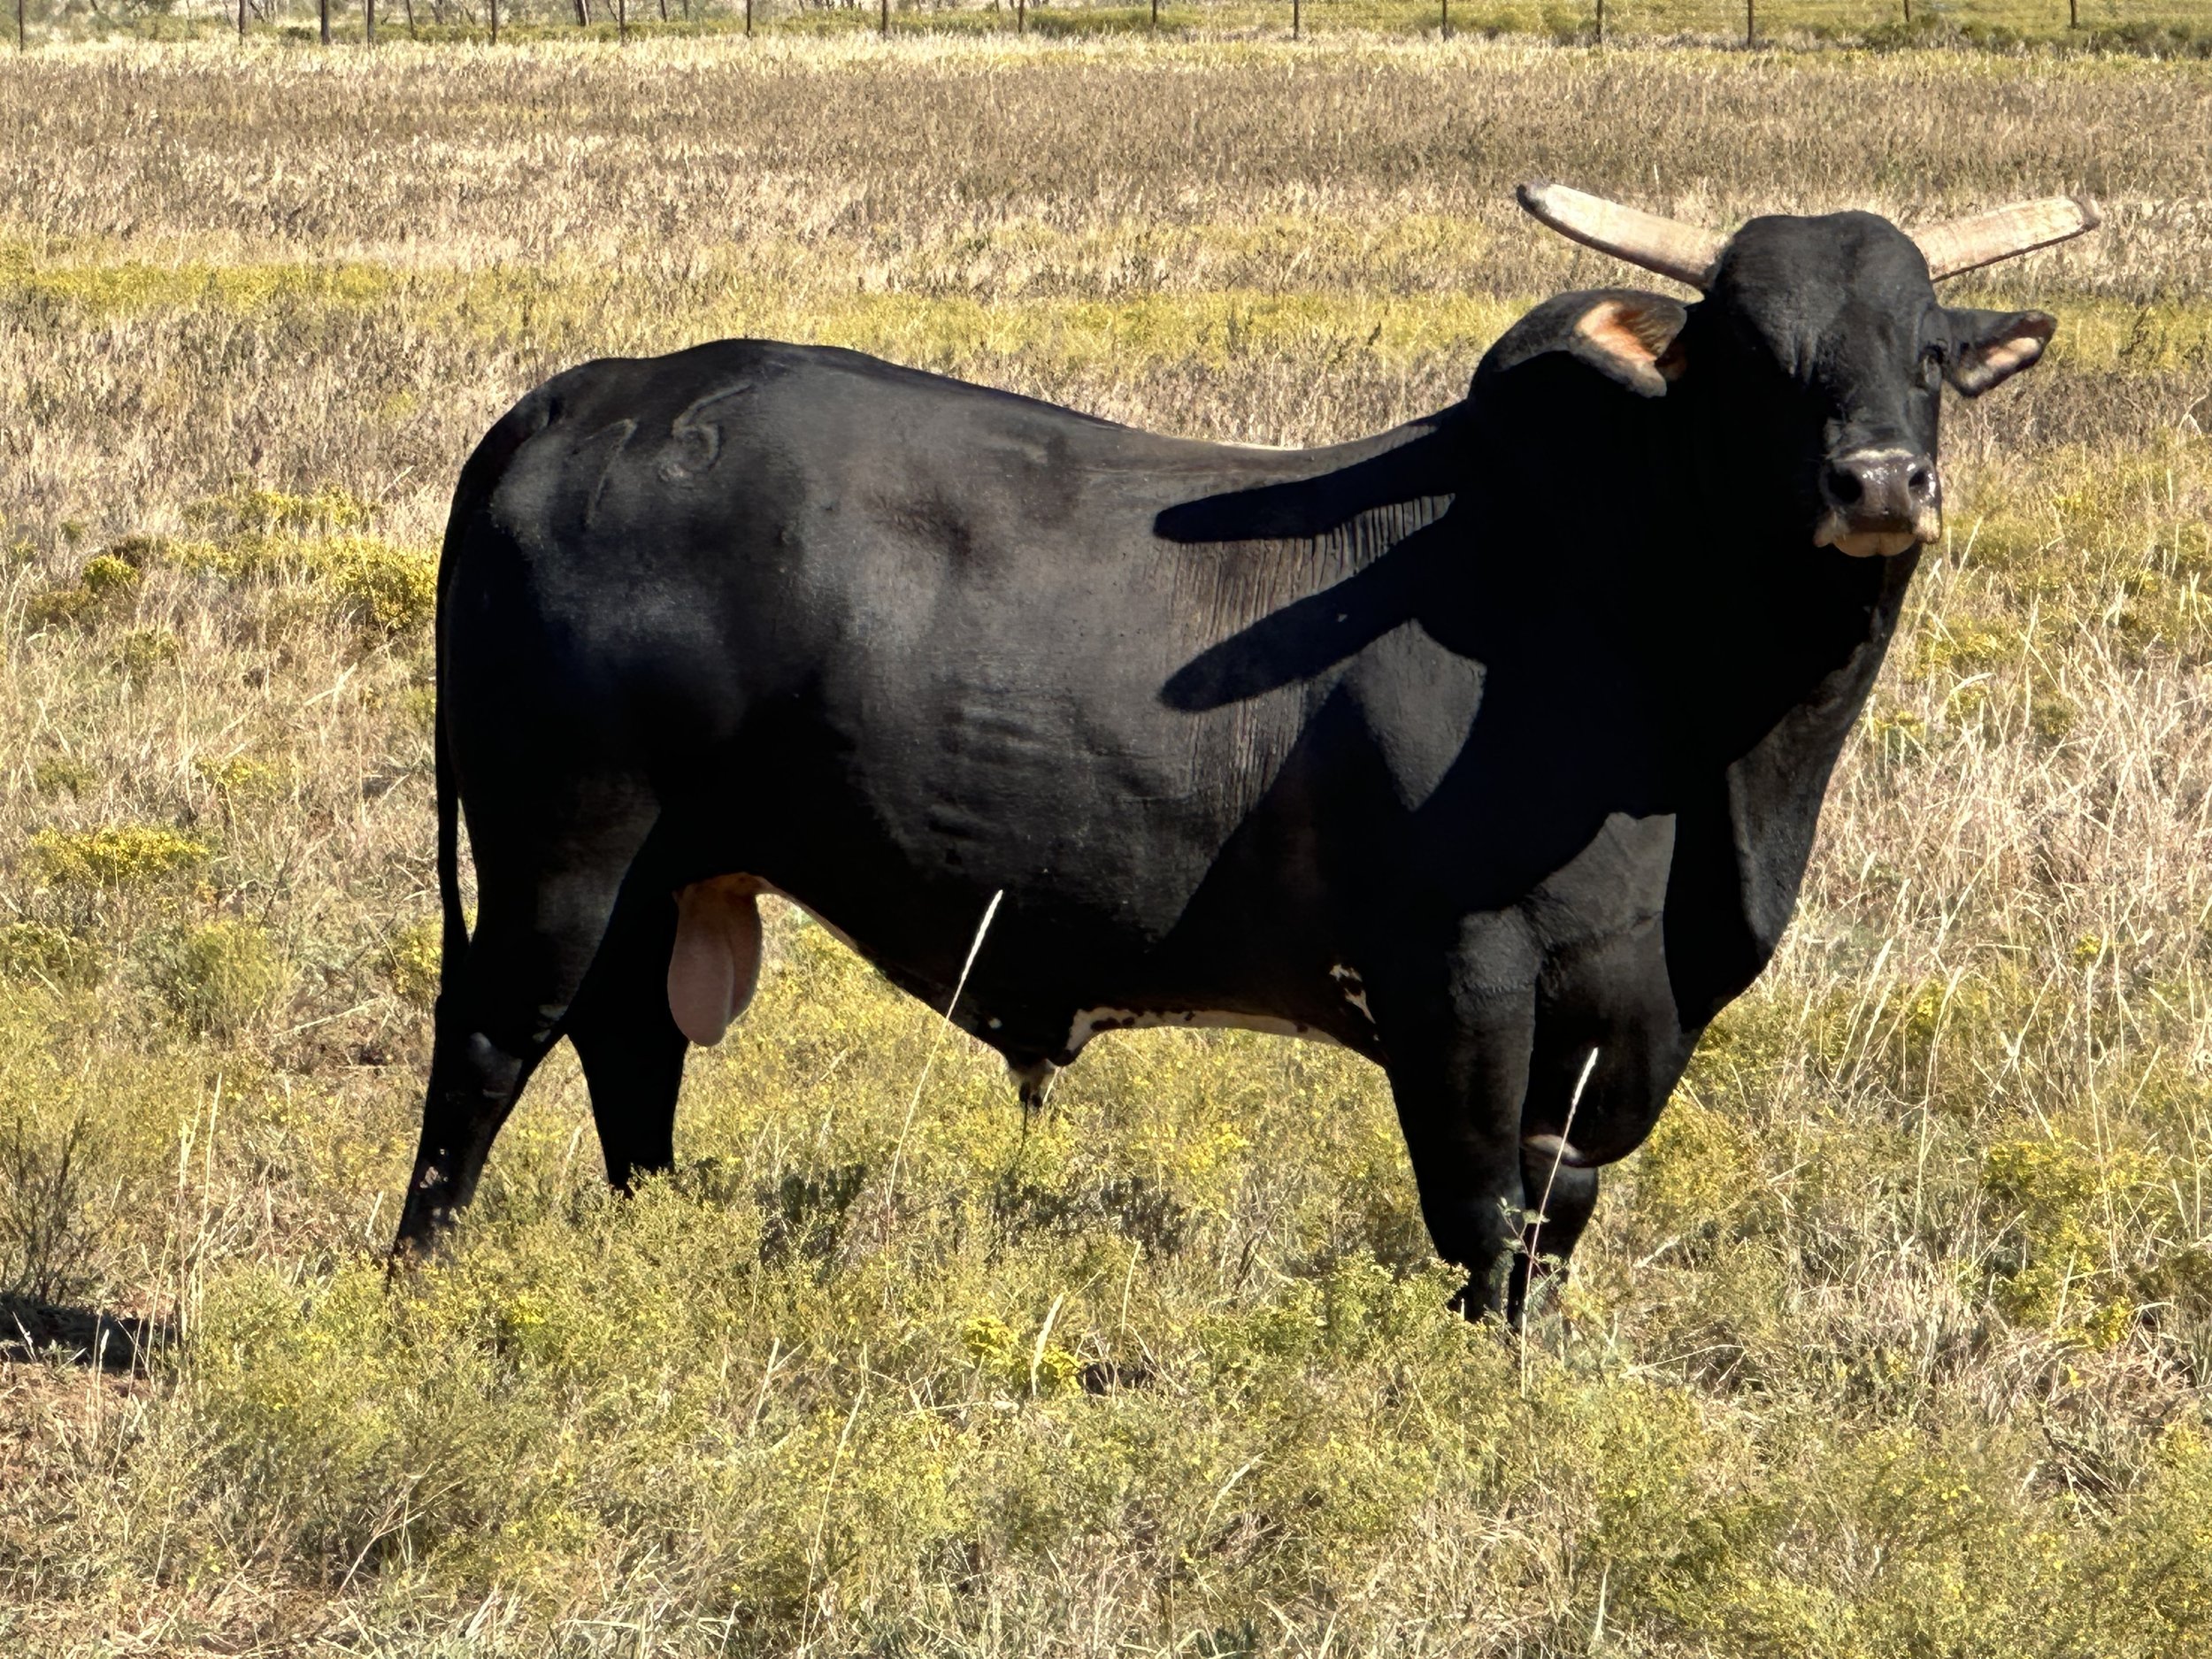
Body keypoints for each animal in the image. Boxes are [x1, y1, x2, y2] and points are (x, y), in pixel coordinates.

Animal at [394, 184, 2096, 1319]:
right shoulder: (1461, 973)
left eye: (1927, 354)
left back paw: (653, 1239)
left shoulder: (1626, 1015)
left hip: (666, 870)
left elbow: (1557, 1210)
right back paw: (419, 1277)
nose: (1880, 482)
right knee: (489, 1047)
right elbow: (1480, 1207)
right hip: (562, 848)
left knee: (633, 1051)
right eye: (1751, 357)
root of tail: (591, 393)